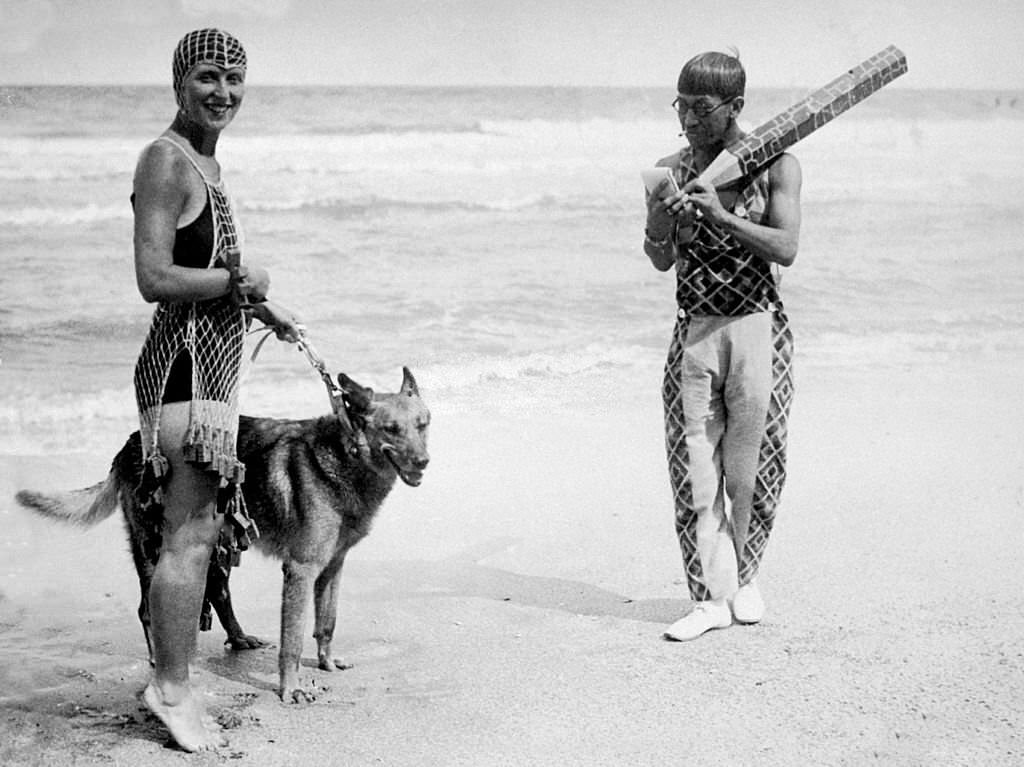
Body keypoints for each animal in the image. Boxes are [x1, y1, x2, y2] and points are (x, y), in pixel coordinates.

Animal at [17, 368, 432, 704]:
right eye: (391, 429)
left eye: (423, 424)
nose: (424, 462)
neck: (343, 456)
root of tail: (130, 444)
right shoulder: (300, 571)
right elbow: (293, 641)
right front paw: (291, 689)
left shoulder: (332, 568)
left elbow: (326, 623)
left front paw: (326, 663)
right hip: (156, 551)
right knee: (148, 609)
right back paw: (161, 660)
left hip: (218, 542)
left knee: (218, 592)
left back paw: (239, 637)